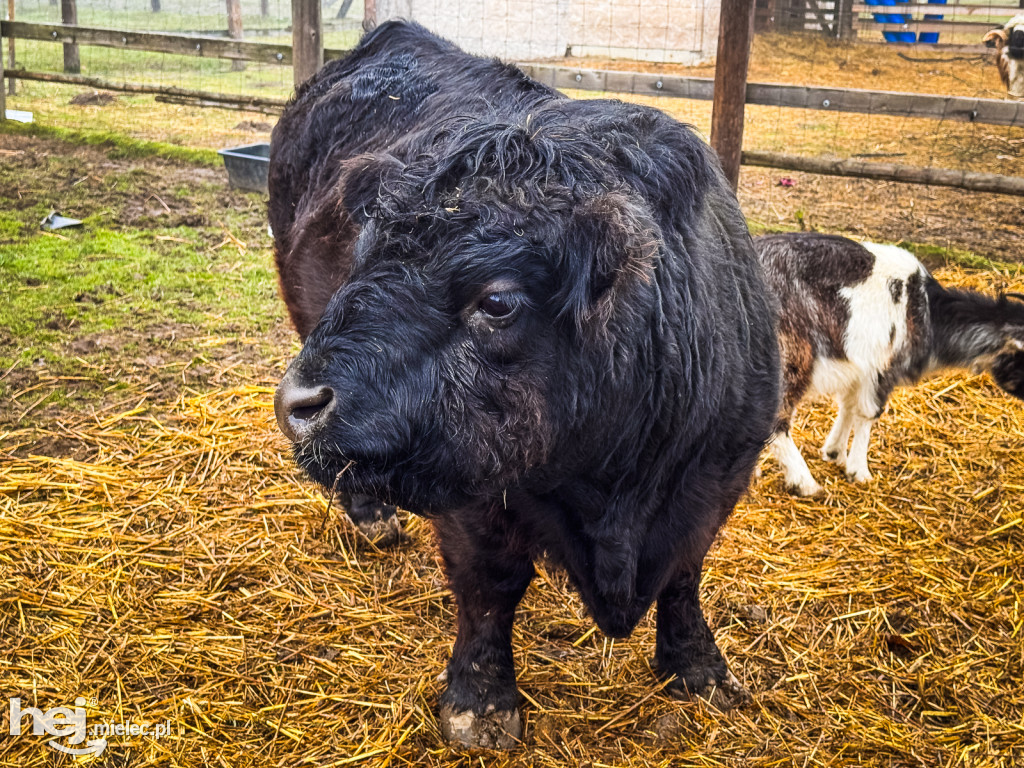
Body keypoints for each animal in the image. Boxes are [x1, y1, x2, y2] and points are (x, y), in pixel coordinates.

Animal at [268, 20, 778, 749]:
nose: (299, 402)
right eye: (360, 258)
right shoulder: (474, 493)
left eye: (498, 301)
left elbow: (685, 574)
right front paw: (481, 702)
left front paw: (700, 667)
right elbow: (490, 588)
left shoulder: (714, 478)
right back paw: (371, 518)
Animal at [757, 234, 1024, 499]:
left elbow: (848, 407)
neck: (928, 313)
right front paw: (859, 471)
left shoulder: (859, 369)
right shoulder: (881, 369)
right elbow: (867, 414)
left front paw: (835, 453)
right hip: (791, 357)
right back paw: (805, 483)